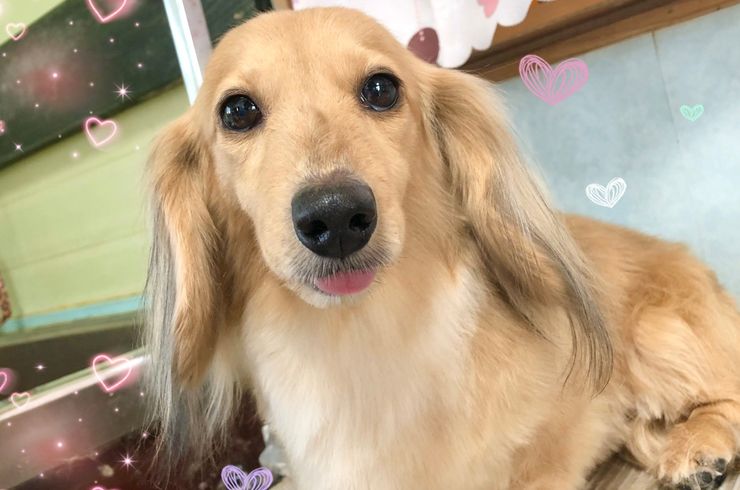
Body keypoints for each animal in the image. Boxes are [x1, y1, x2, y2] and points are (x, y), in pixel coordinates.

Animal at [143, 7, 740, 490]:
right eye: (236, 111)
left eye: (381, 89)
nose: (335, 217)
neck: (363, 337)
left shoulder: (557, 436)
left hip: (657, 332)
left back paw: (699, 449)